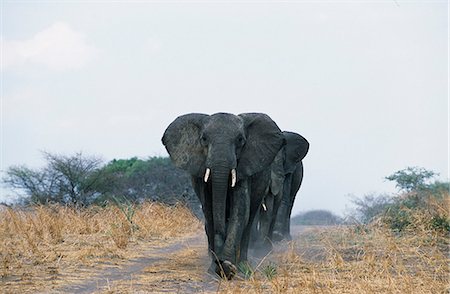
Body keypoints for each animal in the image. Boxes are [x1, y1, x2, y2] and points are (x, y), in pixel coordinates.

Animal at [161, 112, 284, 278]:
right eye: (204, 139)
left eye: (240, 140)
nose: (220, 261)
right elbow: (210, 212)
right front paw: (216, 269)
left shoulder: (243, 168)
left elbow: (240, 212)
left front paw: (228, 268)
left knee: (250, 218)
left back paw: (243, 267)